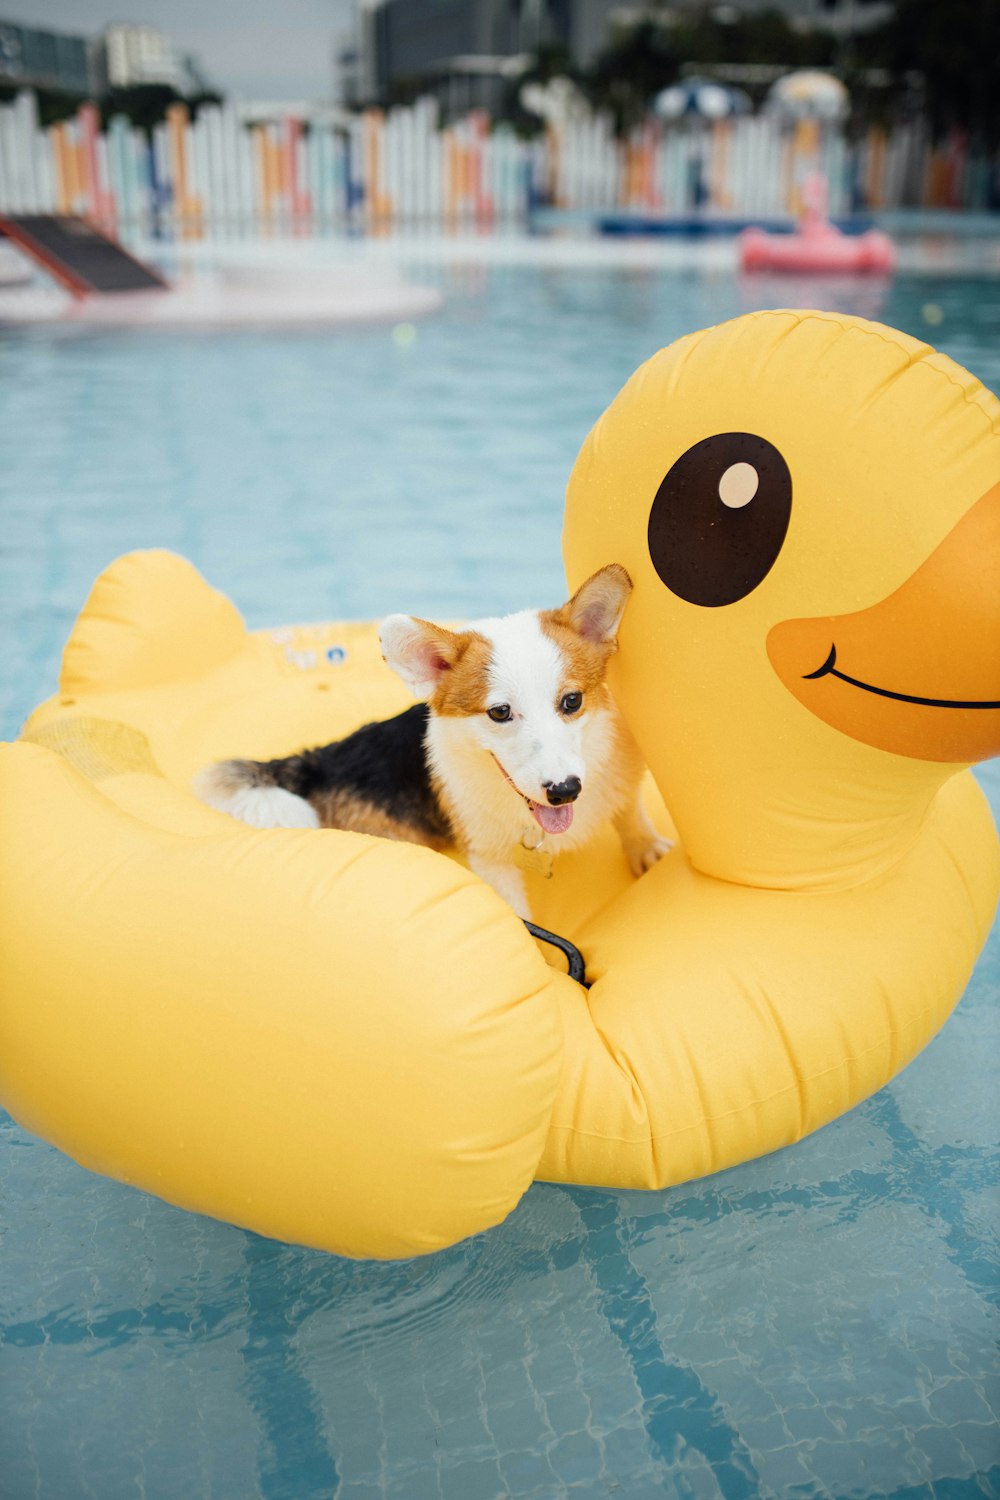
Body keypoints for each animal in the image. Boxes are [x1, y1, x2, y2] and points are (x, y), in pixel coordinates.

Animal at [193, 561, 671, 912]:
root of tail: (319, 760)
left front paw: (646, 849)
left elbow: (630, 814)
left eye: (572, 701)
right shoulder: (490, 860)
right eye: (500, 712)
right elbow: (521, 923)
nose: (565, 791)